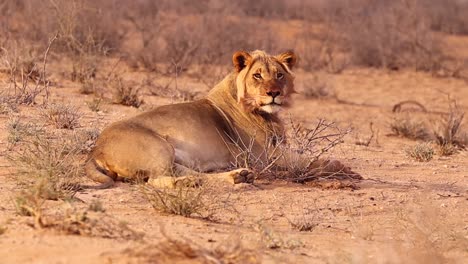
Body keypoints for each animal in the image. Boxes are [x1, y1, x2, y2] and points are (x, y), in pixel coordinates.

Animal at [85, 50, 354, 190]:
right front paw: (343, 168)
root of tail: (96, 149)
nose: (274, 93)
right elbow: (306, 161)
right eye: (257, 75)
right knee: (156, 180)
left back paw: (236, 176)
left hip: (172, 155)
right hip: (158, 146)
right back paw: (191, 182)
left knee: (186, 173)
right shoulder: (264, 156)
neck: (267, 115)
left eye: (279, 75)